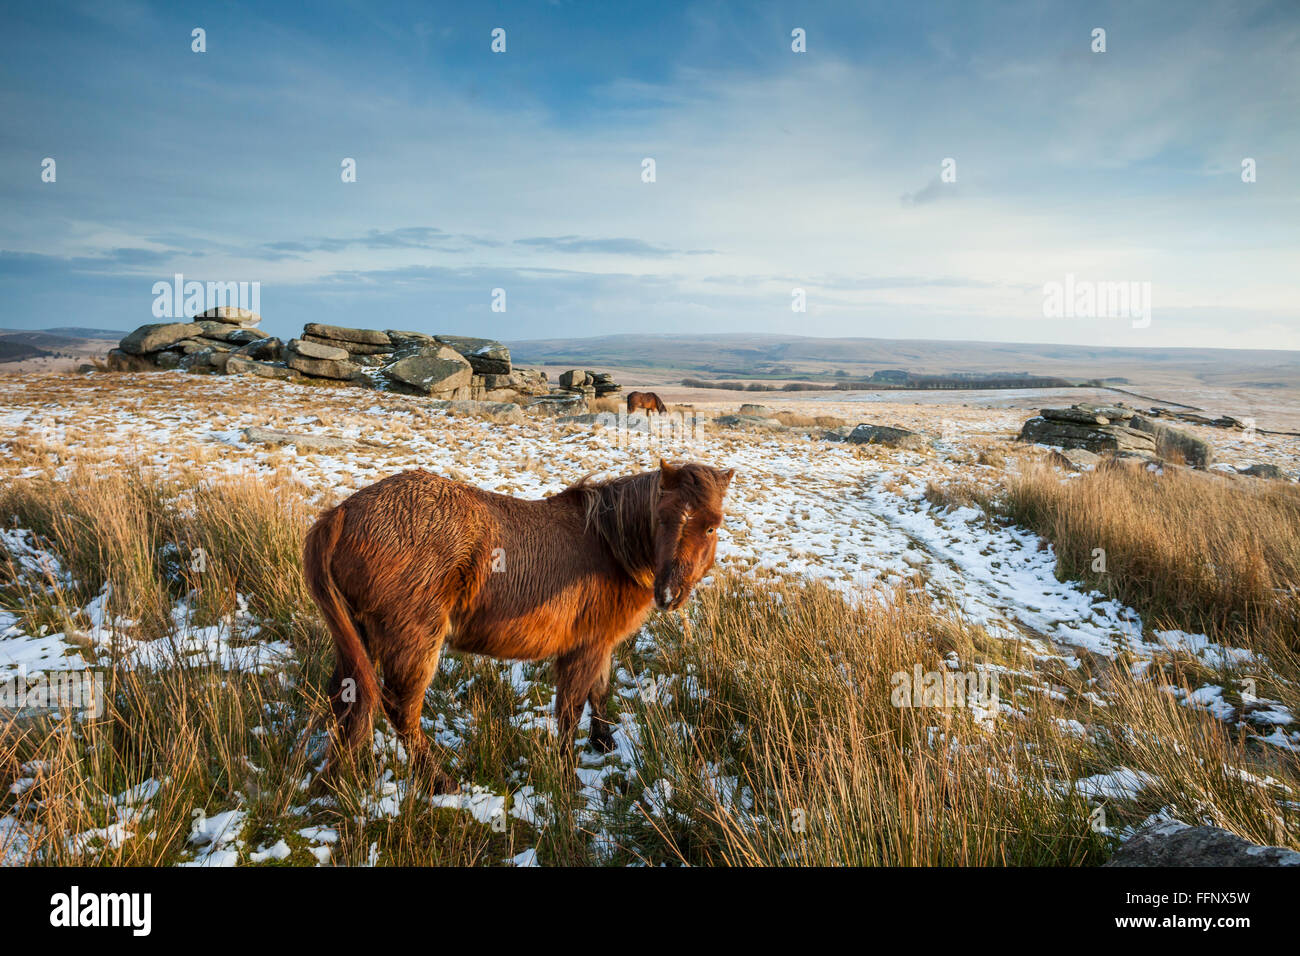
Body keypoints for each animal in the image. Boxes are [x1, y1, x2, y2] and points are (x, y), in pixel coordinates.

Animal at [303, 459, 735, 791]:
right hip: (413, 641)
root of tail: (341, 513)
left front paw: (604, 742)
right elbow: (571, 710)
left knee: (346, 697)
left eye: (711, 526)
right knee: (401, 710)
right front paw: (567, 774)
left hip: (359, 638)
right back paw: (439, 781)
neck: (611, 546)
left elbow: (600, 691)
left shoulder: (601, 643)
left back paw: (335, 774)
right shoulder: (586, 647)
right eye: (661, 518)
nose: (668, 594)